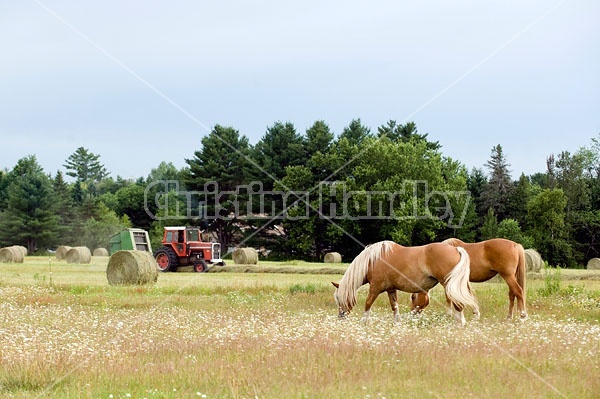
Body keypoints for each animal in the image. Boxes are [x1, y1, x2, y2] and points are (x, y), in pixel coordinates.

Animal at [332, 242, 478, 326]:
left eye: (338, 298)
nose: (340, 317)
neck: (372, 261)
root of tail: (456, 249)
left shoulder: (375, 287)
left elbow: (368, 304)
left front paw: (363, 323)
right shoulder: (391, 289)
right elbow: (394, 306)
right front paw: (397, 323)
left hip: (448, 284)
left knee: (458, 303)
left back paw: (459, 324)